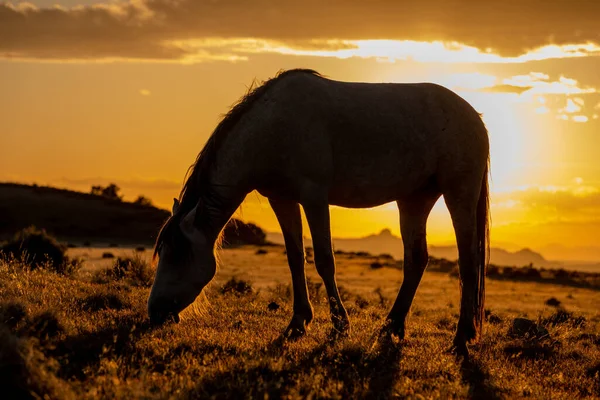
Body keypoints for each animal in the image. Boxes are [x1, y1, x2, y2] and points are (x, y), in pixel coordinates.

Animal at [148, 69, 490, 356]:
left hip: (458, 193)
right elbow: (295, 258)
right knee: (417, 260)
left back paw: (461, 339)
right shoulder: (282, 200)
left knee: (468, 261)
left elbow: (325, 260)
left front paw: (340, 326)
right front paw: (298, 322)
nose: (154, 313)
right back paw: (391, 328)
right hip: (414, 200)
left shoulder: (314, 197)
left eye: (177, 254)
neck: (274, 127)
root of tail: (474, 116)